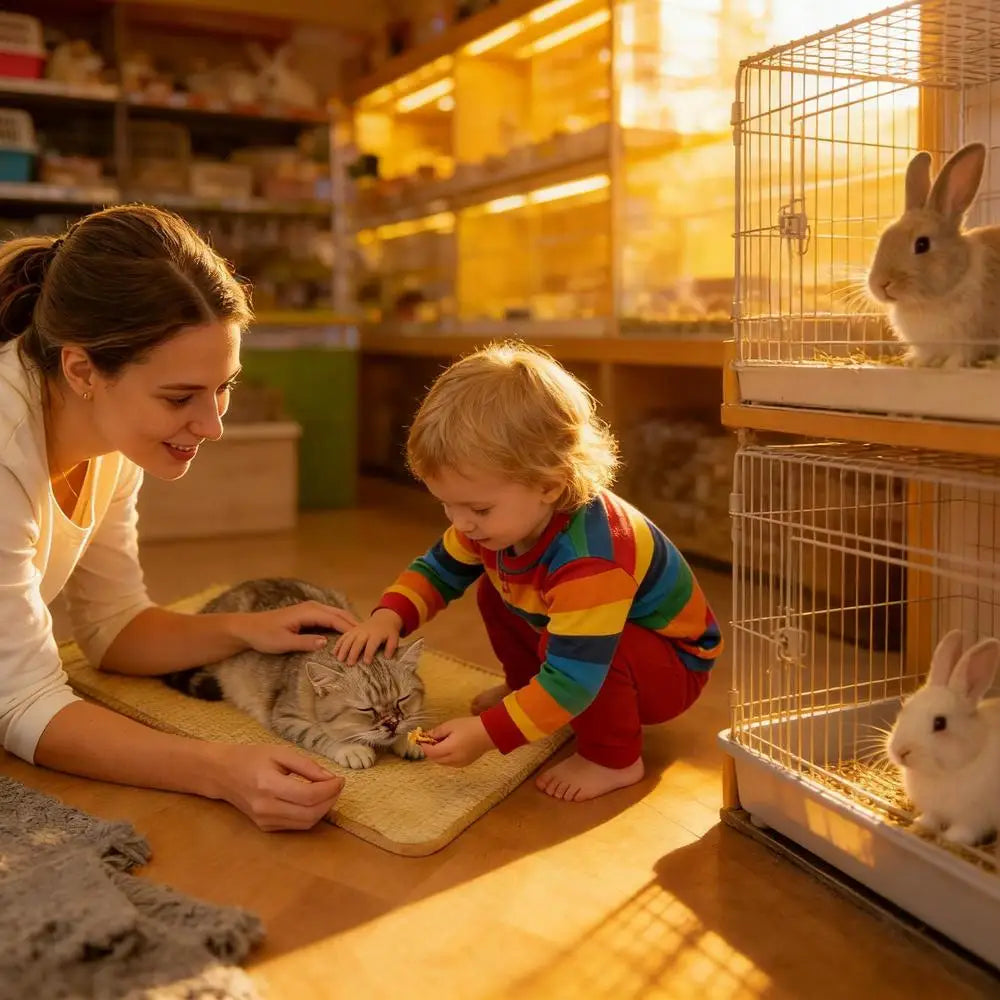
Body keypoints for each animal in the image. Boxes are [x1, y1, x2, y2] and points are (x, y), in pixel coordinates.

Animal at [867, 142, 1000, 368]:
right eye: (884, 237)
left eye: (922, 244)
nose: (881, 284)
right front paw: (916, 362)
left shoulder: (968, 340)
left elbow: (960, 355)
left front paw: (949, 365)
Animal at [886, 629, 1000, 846]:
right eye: (906, 707)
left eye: (940, 723)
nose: (901, 751)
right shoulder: (935, 810)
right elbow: (932, 818)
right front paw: (920, 825)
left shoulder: (974, 817)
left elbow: (965, 830)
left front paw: (950, 839)